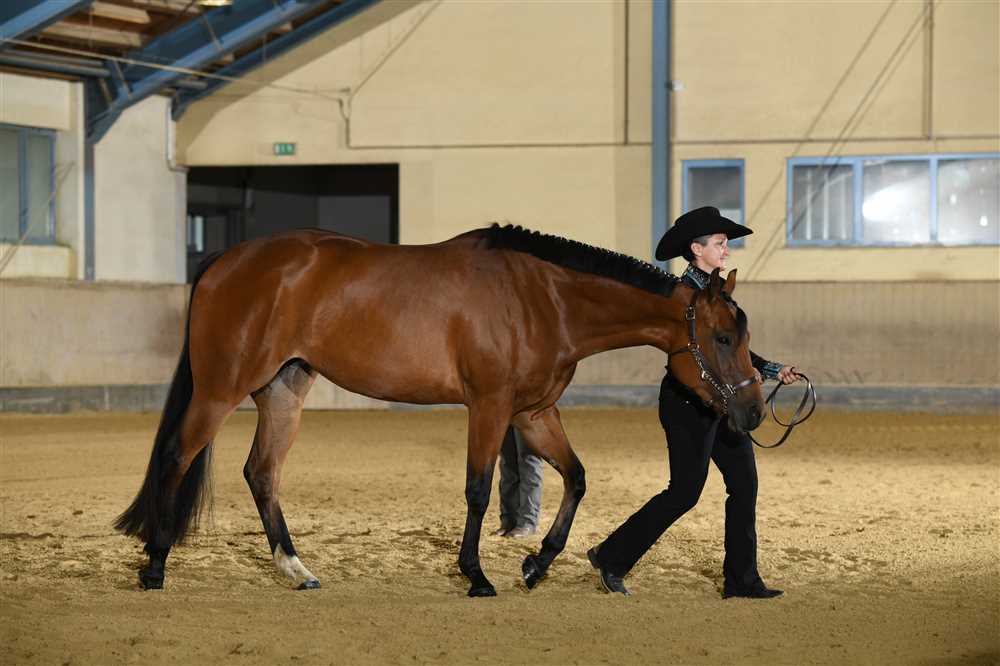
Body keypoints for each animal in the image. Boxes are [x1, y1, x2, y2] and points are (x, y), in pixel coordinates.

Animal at [115, 224, 765, 597]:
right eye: (723, 337)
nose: (755, 411)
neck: (543, 297)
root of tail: (226, 260)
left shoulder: (533, 413)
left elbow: (577, 478)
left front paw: (536, 565)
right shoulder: (491, 407)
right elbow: (477, 490)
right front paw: (477, 576)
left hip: (283, 390)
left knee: (261, 472)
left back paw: (295, 570)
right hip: (220, 388)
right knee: (177, 455)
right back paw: (155, 567)